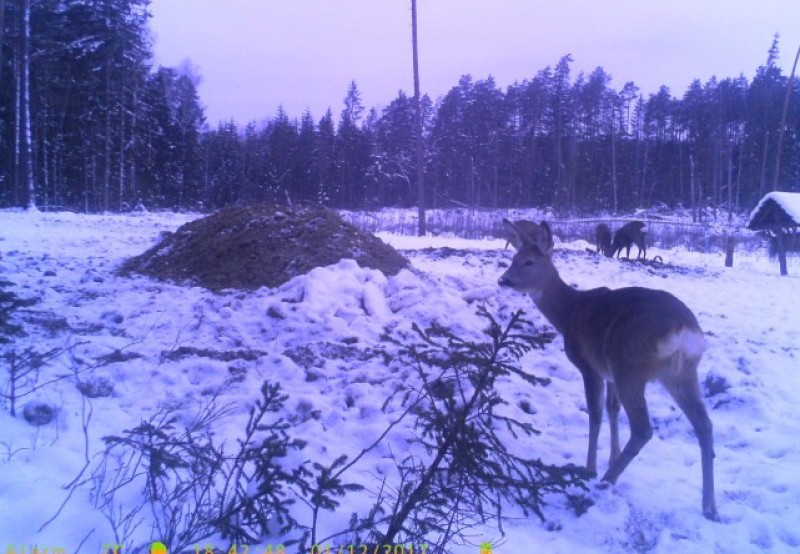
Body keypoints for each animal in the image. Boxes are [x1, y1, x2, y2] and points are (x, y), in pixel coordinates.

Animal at [498, 219, 717, 520]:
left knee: (643, 429)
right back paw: (710, 507)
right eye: (513, 258)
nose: (503, 280)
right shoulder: (608, 370)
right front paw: (611, 456)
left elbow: (595, 414)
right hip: (681, 373)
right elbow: (612, 409)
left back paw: (603, 483)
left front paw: (589, 468)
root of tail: (683, 329)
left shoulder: (589, 365)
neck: (569, 314)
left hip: (631, 365)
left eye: (529, 262)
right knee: (704, 425)